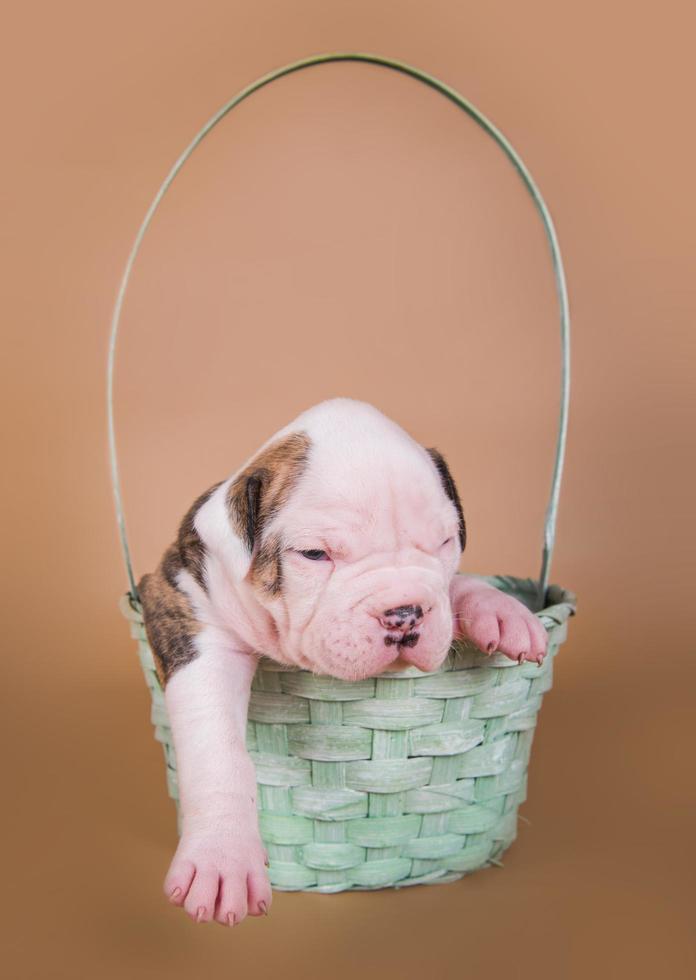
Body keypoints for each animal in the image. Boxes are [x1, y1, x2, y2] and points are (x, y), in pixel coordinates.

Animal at [139, 394, 548, 924]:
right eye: (314, 554)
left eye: (445, 541)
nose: (403, 614)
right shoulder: (192, 623)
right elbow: (218, 753)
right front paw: (221, 856)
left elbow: (454, 584)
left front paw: (500, 610)